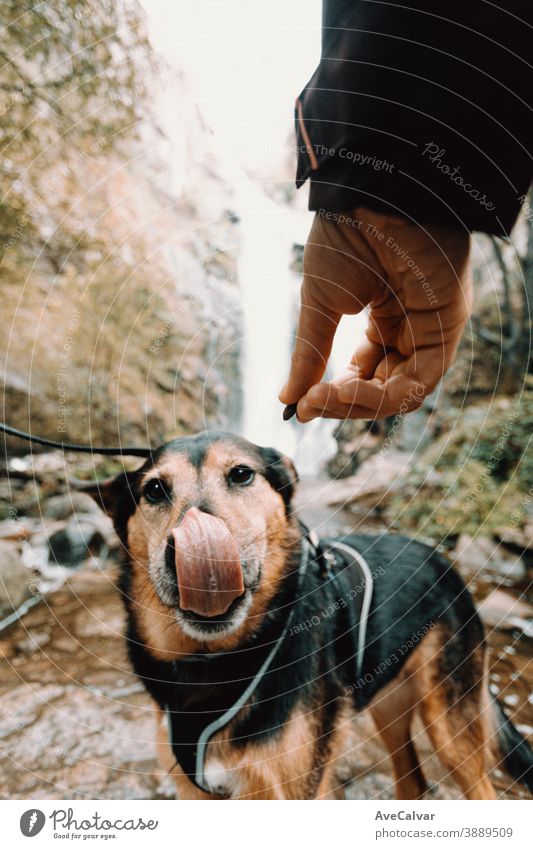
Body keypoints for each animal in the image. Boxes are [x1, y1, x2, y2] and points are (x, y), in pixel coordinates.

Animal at [80, 434, 532, 800]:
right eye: (154, 490)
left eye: (241, 474)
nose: (194, 556)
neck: (212, 663)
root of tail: (441, 559)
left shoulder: (292, 787)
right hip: (387, 706)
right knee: (412, 782)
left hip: (449, 728)